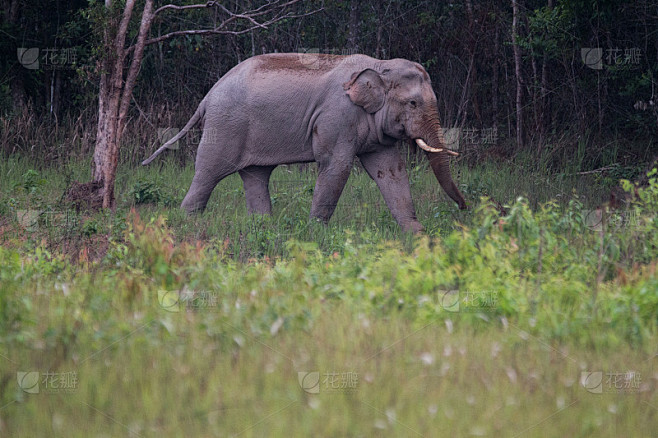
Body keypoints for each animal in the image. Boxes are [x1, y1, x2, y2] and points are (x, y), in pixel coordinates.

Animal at [142, 53, 467, 232]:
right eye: (412, 103)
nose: (465, 210)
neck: (379, 64)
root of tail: (208, 95)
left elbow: (391, 170)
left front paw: (417, 234)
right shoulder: (337, 117)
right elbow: (336, 167)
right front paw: (316, 232)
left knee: (255, 175)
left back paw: (264, 226)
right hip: (224, 127)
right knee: (208, 172)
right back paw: (187, 222)